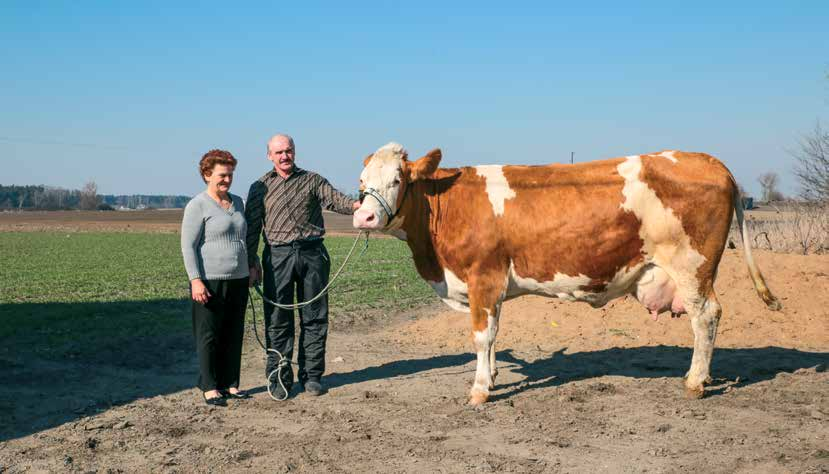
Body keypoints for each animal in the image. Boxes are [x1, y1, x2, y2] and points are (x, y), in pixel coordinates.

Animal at [352, 143, 780, 406]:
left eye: (398, 180)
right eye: (361, 183)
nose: (364, 217)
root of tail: (710, 160)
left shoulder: (483, 278)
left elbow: (481, 335)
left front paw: (479, 390)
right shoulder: (489, 288)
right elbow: (494, 336)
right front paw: (493, 376)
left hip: (691, 269)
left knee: (706, 316)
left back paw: (694, 382)